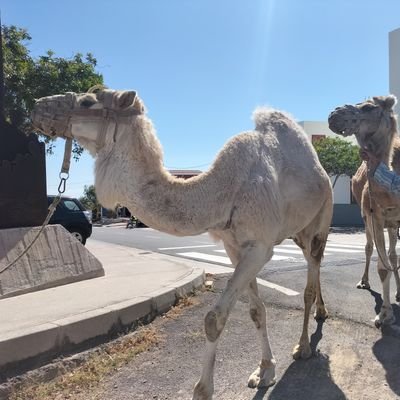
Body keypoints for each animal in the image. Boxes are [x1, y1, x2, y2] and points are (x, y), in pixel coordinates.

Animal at [31, 88, 332, 400]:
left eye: (88, 101)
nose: (37, 107)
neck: (223, 193)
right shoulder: (235, 247)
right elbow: (256, 311)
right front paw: (264, 371)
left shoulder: (260, 246)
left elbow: (214, 319)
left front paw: (203, 390)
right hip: (297, 233)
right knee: (315, 269)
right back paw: (321, 313)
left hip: (320, 219)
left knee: (311, 277)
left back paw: (303, 346)